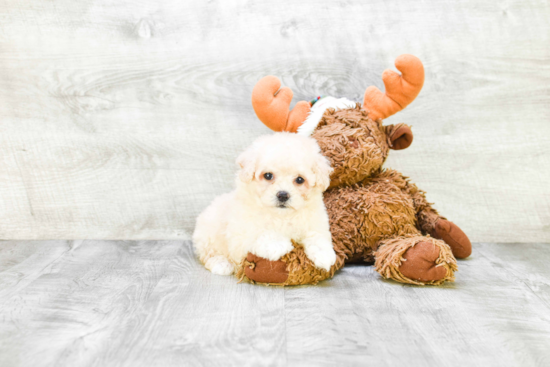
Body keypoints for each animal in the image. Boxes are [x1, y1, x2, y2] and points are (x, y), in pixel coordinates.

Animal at [195, 132, 340, 276]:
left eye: (300, 180)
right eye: (268, 175)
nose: (283, 195)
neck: (281, 216)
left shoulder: (315, 222)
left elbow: (317, 235)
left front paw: (324, 254)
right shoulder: (239, 236)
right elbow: (260, 234)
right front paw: (277, 244)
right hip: (207, 236)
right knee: (208, 255)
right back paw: (221, 264)